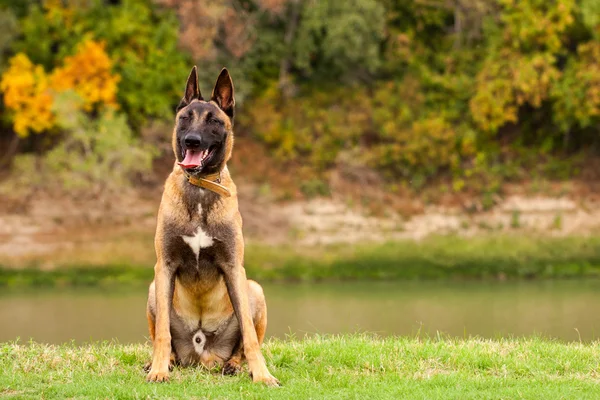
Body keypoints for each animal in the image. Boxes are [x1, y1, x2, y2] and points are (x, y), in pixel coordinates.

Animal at [145, 67, 278, 386]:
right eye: (185, 117)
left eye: (214, 121)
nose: (192, 141)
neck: (200, 189)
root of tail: (201, 354)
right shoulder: (164, 266)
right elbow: (163, 333)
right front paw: (158, 370)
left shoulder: (233, 267)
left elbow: (250, 336)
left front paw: (262, 375)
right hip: (154, 288)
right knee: (165, 338)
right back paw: (166, 362)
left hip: (254, 288)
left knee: (242, 343)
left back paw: (235, 365)